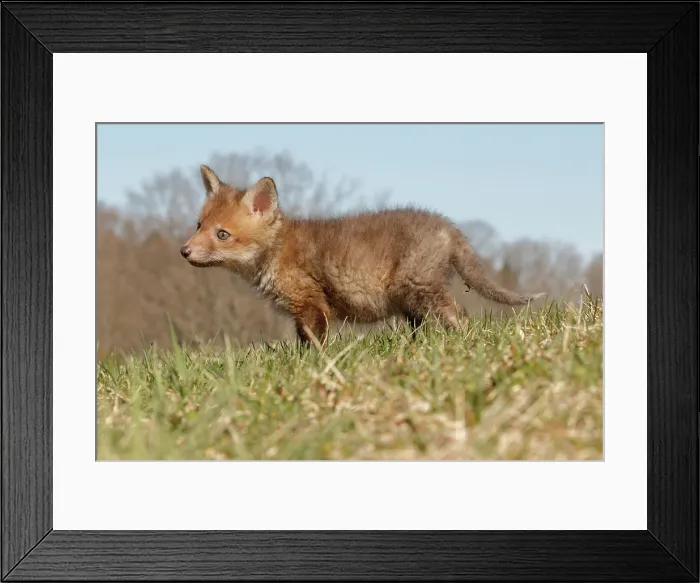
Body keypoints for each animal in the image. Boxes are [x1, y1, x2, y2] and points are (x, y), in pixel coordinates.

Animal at [180, 165, 546, 348]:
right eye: (199, 225)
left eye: (222, 234)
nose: (184, 251)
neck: (277, 251)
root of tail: (447, 225)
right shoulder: (302, 312)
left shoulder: (312, 304)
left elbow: (313, 347)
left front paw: (312, 369)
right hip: (412, 301)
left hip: (419, 289)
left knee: (461, 317)